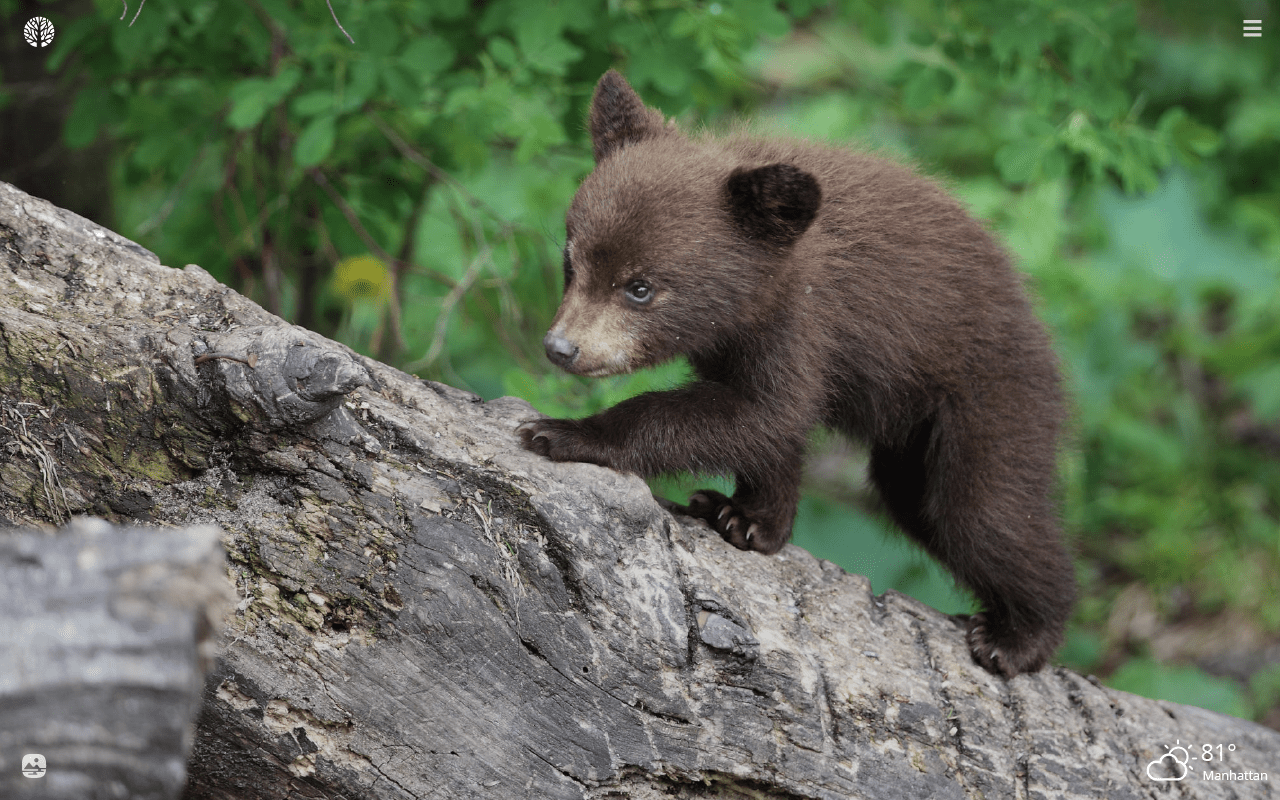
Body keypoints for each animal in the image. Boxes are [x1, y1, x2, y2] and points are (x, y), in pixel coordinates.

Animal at [519, 70, 1075, 678]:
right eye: (571, 260)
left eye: (640, 287)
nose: (561, 347)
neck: (751, 301)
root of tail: (1040, 327)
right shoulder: (740, 344)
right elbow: (768, 428)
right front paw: (748, 517)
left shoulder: (806, 322)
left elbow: (763, 412)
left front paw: (563, 431)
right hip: (914, 441)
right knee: (916, 501)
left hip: (990, 396)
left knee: (981, 513)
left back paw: (1017, 637)